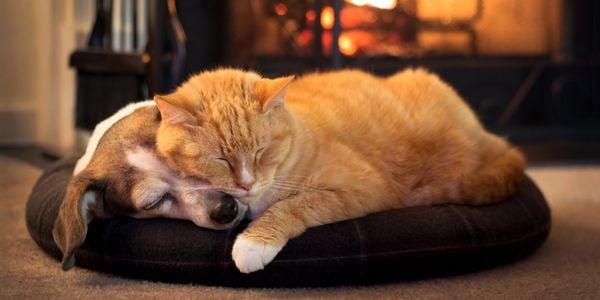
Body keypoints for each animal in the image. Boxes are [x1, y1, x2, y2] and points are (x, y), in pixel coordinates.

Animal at [154, 68, 524, 274]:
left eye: (261, 151)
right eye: (221, 159)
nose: (246, 183)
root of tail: (487, 134)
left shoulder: (362, 189)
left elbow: (292, 205)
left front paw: (252, 244)